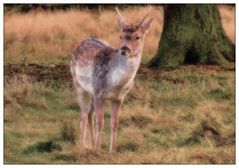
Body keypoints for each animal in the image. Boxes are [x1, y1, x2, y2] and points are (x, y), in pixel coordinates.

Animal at [69, 6, 153, 154]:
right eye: (121, 36)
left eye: (138, 36)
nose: (124, 49)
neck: (115, 84)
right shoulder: (99, 92)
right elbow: (100, 122)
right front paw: (98, 150)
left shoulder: (119, 98)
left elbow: (114, 122)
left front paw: (111, 150)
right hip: (79, 84)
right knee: (84, 114)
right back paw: (82, 146)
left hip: (91, 91)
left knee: (89, 113)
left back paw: (90, 144)